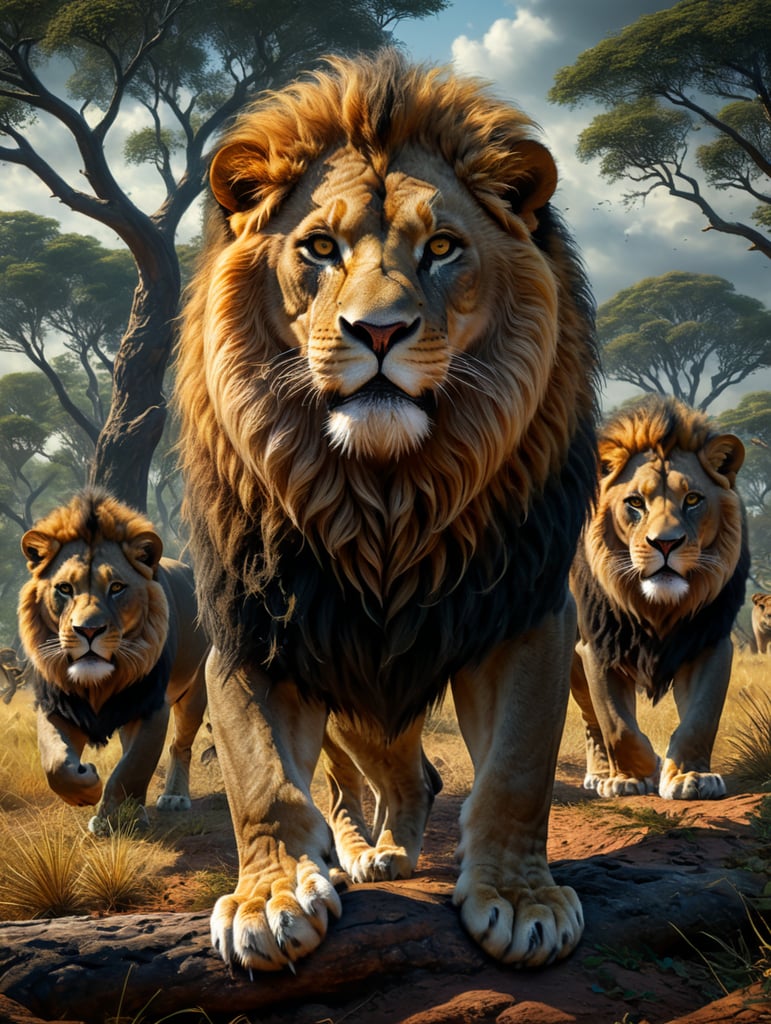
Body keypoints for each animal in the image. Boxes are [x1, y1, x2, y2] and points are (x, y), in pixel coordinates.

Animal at [18, 490, 209, 833]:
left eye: (117, 588)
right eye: (64, 589)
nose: (88, 630)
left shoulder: (151, 706)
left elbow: (133, 766)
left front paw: (115, 820)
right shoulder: (57, 703)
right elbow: (56, 762)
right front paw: (86, 786)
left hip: (194, 690)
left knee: (180, 745)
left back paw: (175, 797)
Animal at [175, 50, 599, 971]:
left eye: (440, 248)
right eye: (318, 247)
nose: (377, 332)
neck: (382, 500)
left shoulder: (522, 611)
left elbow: (516, 770)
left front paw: (520, 900)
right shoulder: (256, 625)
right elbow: (261, 781)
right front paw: (268, 899)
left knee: (417, 774)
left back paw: (395, 849)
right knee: (354, 780)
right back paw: (360, 854)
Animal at [570, 396, 749, 801]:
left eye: (693, 499)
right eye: (635, 502)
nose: (665, 543)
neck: (657, 608)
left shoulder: (709, 641)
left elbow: (700, 718)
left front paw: (690, 777)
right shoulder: (597, 647)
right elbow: (616, 723)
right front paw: (632, 776)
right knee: (591, 721)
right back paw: (600, 774)